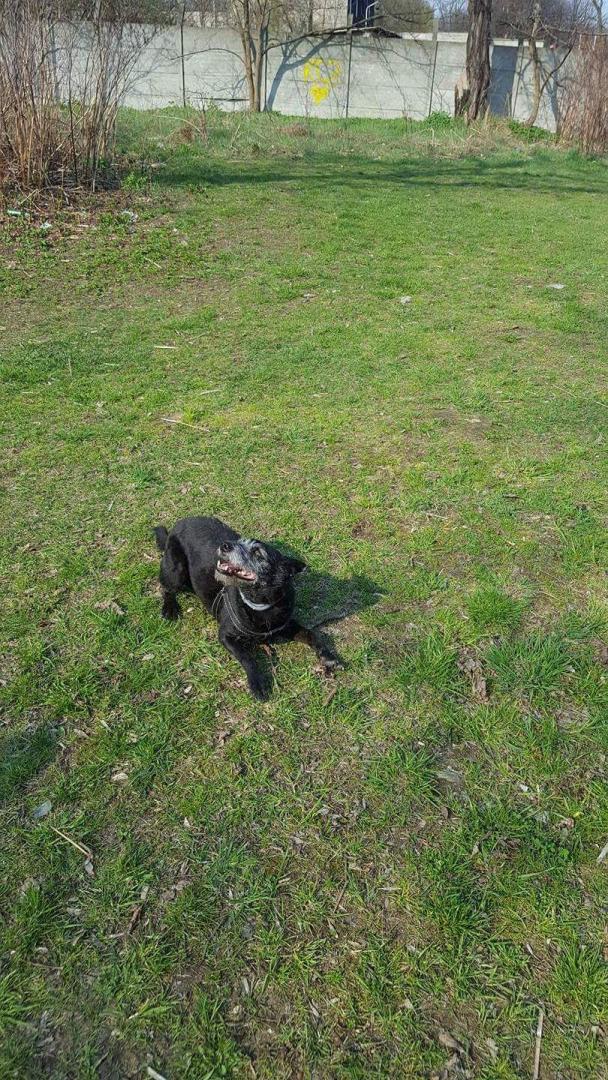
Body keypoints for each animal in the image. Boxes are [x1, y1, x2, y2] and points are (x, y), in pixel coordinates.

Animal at [154, 516, 341, 700]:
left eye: (258, 553)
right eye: (240, 542)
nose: (225, 545)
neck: (260, 605)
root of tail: (181, 522)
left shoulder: (287, 626)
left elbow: (312, 634)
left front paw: (328, 657)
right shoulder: (226, 636)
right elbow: (248, 658)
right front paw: (257, 683)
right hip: (175, 571)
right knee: (166, 587)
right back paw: (169, 608)